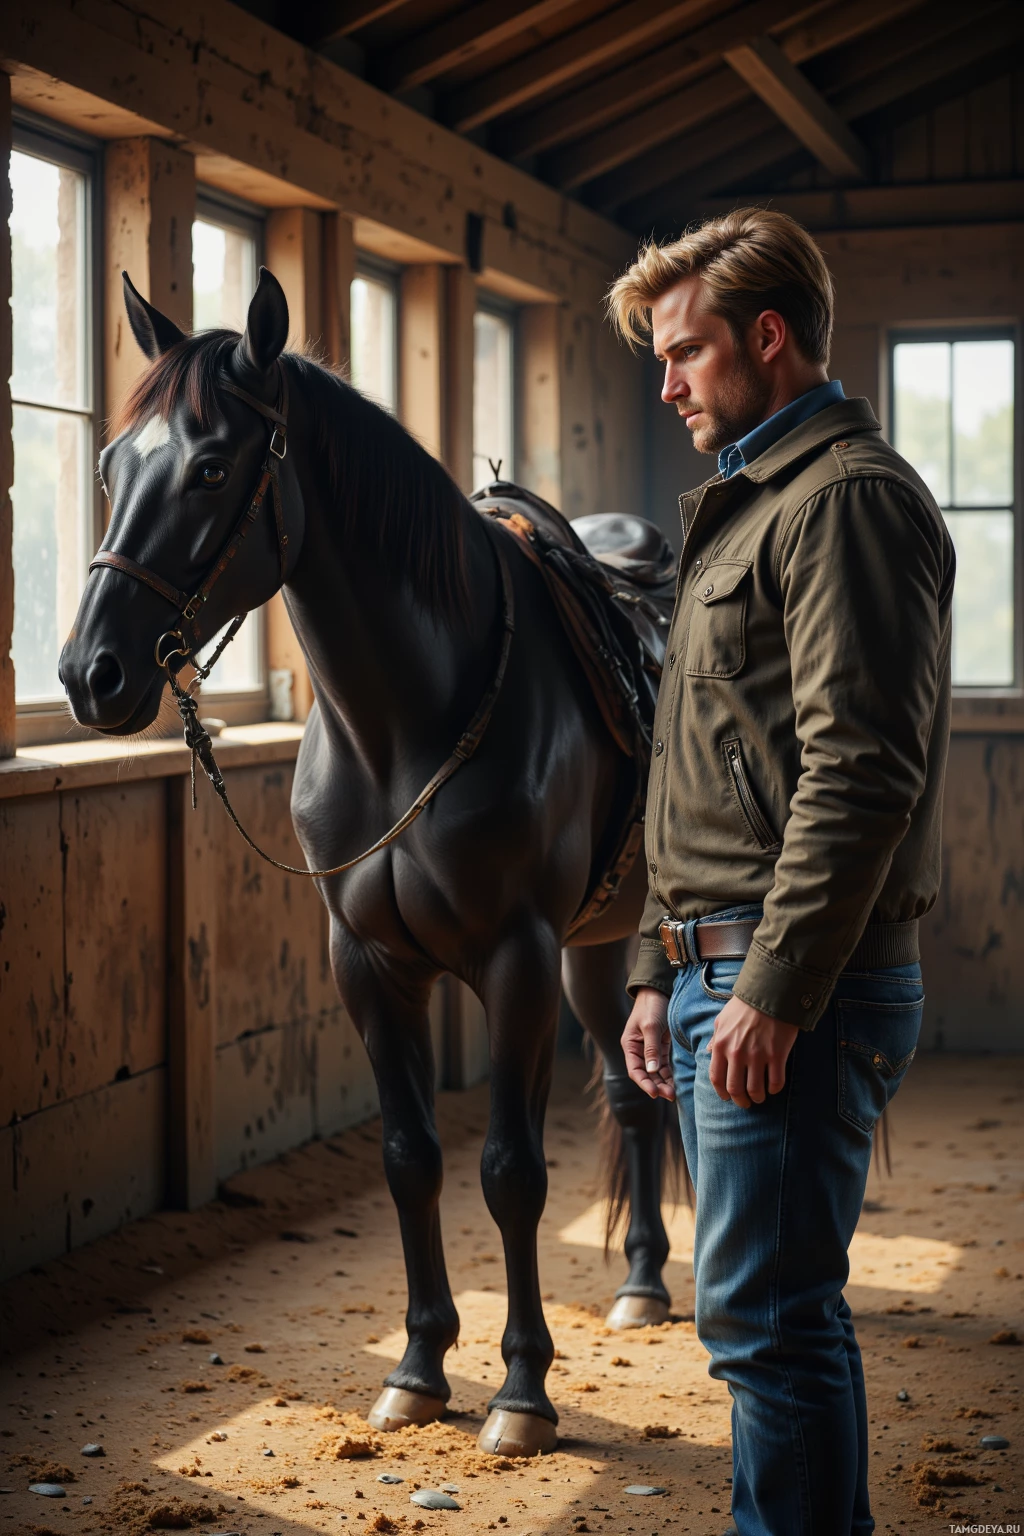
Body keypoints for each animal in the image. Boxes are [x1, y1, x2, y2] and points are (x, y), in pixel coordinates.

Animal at [59, 268, 677, 1458]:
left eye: (213, 465)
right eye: (111, 465)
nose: (87, 674)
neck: (409, 730)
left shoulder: (514, 962)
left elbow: (511, 1171)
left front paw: (523, 1392)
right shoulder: (370, 965)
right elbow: (410, 1157)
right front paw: (419, 1369)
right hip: (601, 940)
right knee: (637, 1097)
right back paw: (644, 1284)